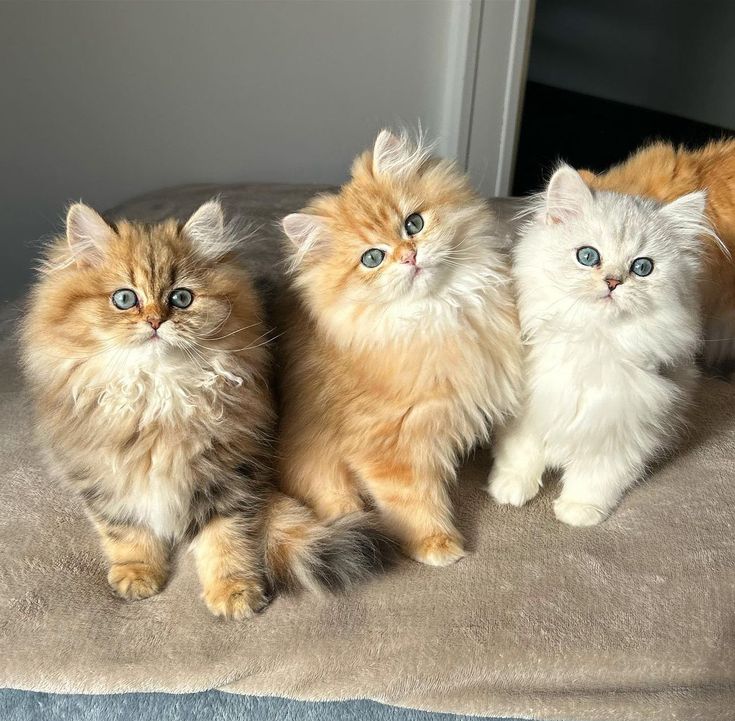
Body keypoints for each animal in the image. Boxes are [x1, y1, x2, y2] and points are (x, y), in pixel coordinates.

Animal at [21, 198, 392, 620]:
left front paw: (234, 592)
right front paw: (137, 575)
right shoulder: (101, 473)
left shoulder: (231, 472)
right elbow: (125, 529)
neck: (158, 393)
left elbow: (225, 540)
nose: (155, 321)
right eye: (125, 299)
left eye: (181, 298)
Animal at [276, 132, 524, 564]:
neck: (439, 314)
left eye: (414, 223)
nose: (410, 256)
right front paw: (438, 544)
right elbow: (413, 500)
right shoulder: (388, 443)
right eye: (372, 257)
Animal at [486, 166, 712, 524]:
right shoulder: (526, 413)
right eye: (588, 256)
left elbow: (596, 478)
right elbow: (521, 454)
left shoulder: (622, 433)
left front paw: (579, 512)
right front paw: (509, 489)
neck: (593, 341)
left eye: (642, 267)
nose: (613, 282)